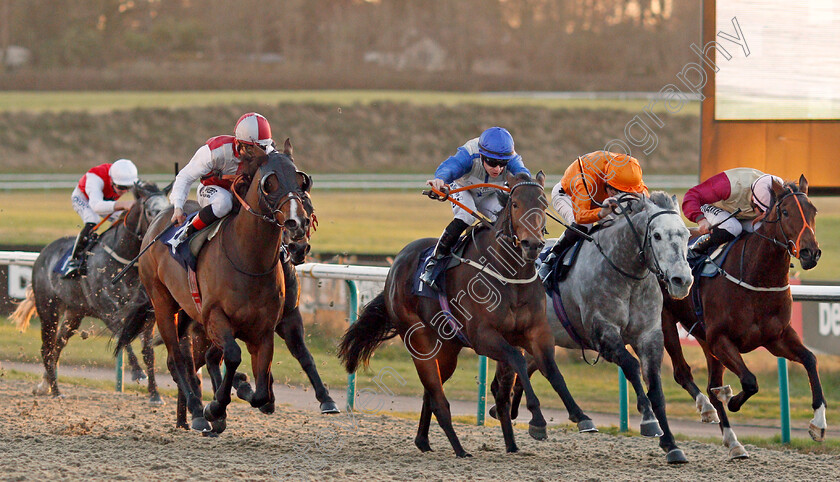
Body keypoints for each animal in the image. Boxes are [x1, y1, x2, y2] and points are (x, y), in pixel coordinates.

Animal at [9, 182, 170, 402]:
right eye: (150, 211)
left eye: (169, 206)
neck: (125, 262)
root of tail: (43, 253)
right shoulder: (108, 310)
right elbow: (123, 336)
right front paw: (138, 373)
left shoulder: (146, 314)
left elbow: (148, 351)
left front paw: (154, 393)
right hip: (48, 309)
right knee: (47, 349)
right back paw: (55, 390)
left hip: (74, 313)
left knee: (57, 346)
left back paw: (46, 385)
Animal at [128, 143, 316, 434]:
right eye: (269, 183)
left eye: (301, 181)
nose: (297, 225)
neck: (248, 260)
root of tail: (159, 219)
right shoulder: (215, 317)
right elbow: (232, 356)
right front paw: (214, 407)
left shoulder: (264, 328)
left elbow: (262, 390)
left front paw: (246, 394)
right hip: (162, 303)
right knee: (177, 358)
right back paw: (196, 410)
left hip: (186, 312)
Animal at [336, 172, 596, 456]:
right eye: (516, 204)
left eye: (543, 204)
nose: (533, 244)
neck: (509, 275)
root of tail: (395, 265)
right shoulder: (483, 336)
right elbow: (518, 360)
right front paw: (537, 419)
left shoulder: (537, 333)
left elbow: (551, 370)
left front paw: (581, 416)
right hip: (419, 341)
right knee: (438, 398)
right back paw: (459, 449)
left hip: (448, 349)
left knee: (431, 391)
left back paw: (427, 441)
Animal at [488, 192, 692, 464]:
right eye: (657, 235)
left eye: (686, 234)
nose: (682, 280)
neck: (626, 274)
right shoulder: (602, 332)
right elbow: (631, 365)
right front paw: (648, 420)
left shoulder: (649, 336)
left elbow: (656, 390)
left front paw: (671, 445)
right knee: (510, 378)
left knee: (527, 371)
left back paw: (526, 419)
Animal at [660, 176, 824, 460]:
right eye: (785, 212)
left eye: (813, 210)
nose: (809, 253)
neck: (756, 277)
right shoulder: (721, 340)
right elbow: (749, 381)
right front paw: (732, 399)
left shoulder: (777, 337)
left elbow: (810, 359)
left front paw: (818, 422)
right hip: (666, 319)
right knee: (682, 373)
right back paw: (706, 408)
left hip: (704, 339)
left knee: (711, 383)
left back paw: (733, 441)